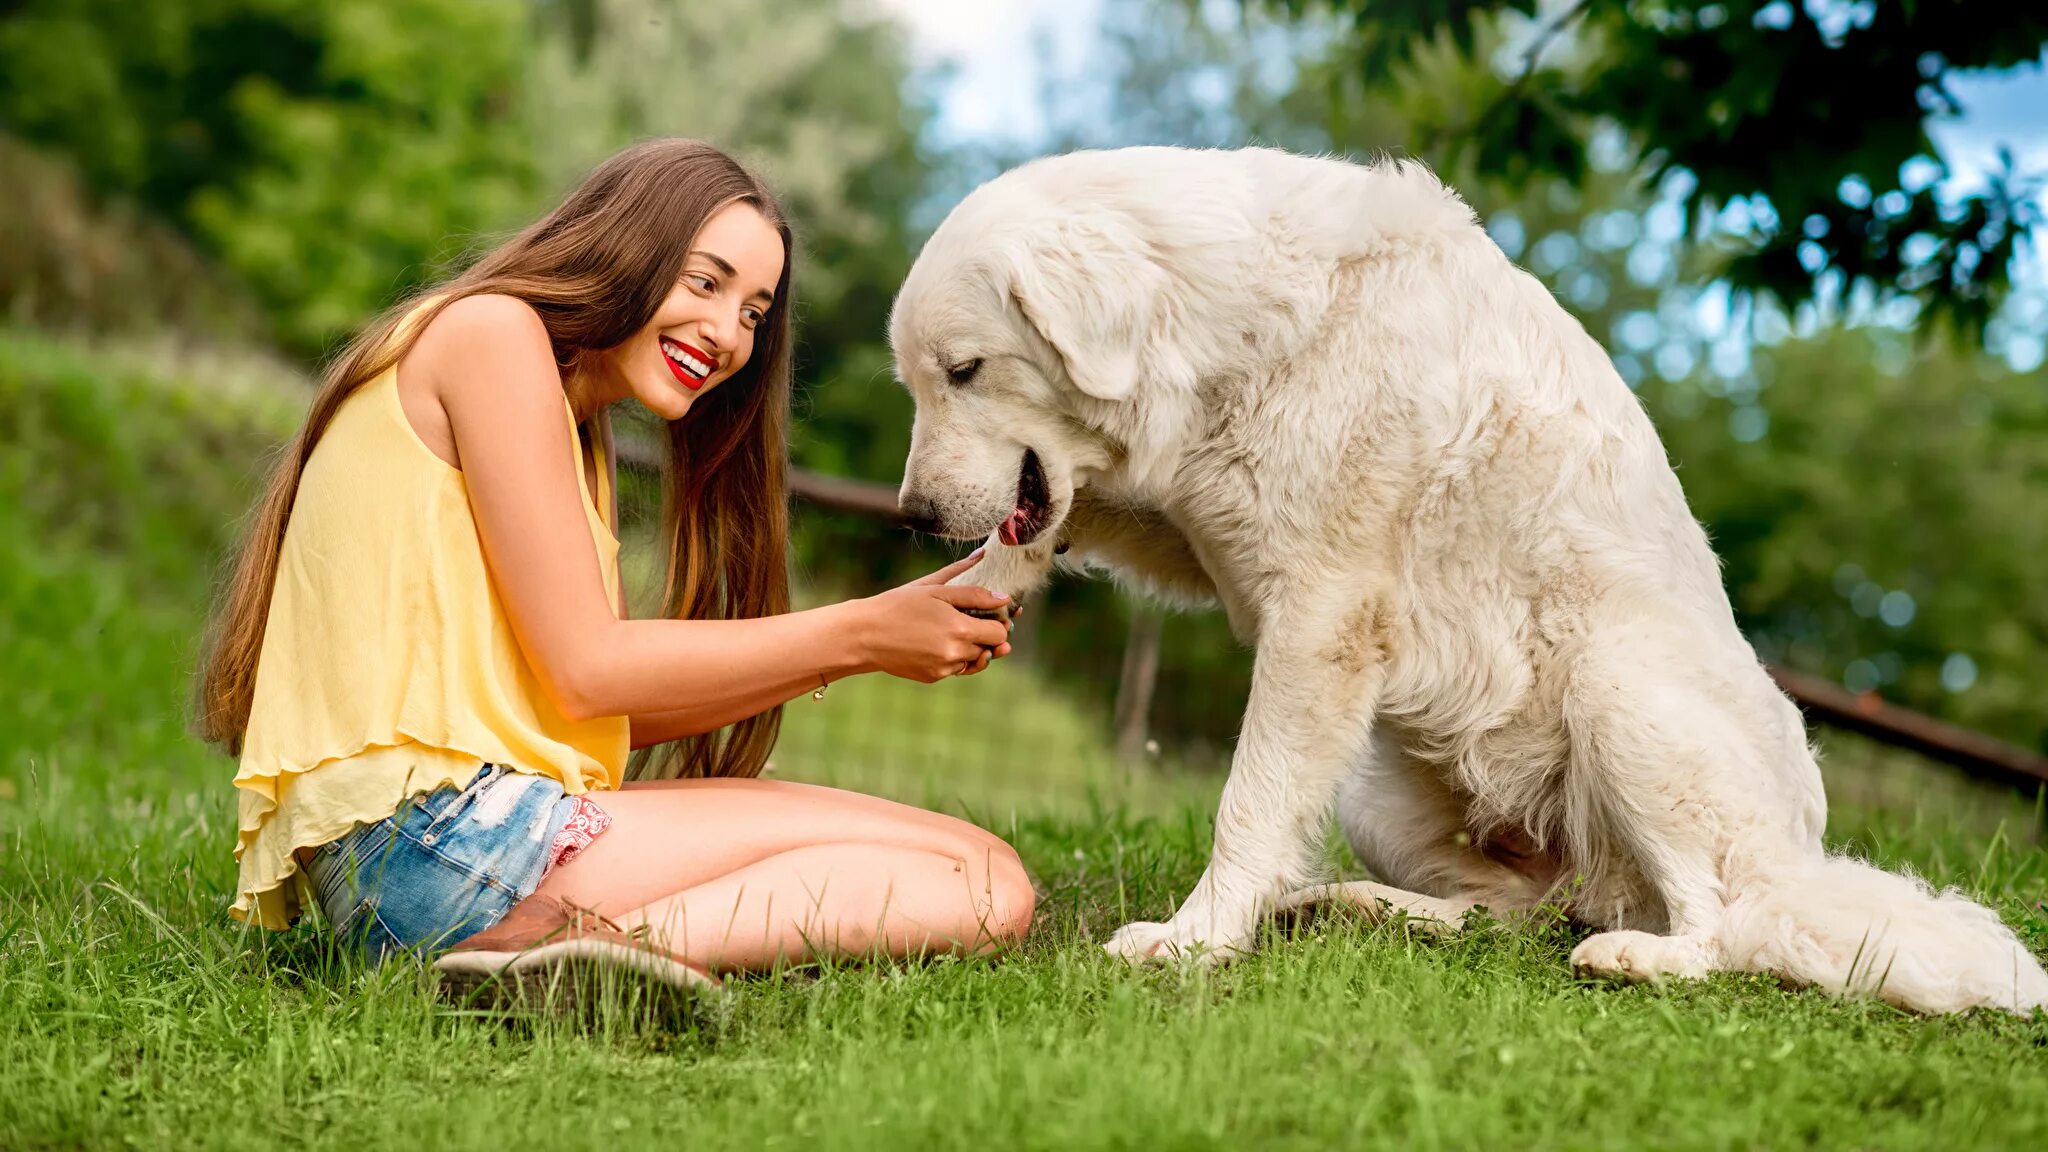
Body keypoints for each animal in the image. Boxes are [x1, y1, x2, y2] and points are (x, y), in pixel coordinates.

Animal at [892, 143, 2048, 1012]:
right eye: (920, 383)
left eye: (965, 372)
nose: (910, 518)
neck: (1242, 325)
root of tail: (1803, 860)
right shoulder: (1202, 530)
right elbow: (1070, 510)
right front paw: (976, 582)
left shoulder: (1318, 619)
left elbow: (1246, 807)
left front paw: (1194, 941)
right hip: (1380, 792)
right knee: (1512, 915)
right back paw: (1362, 908)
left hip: (1617, 697)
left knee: (1728, 923)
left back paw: (1635, 958)